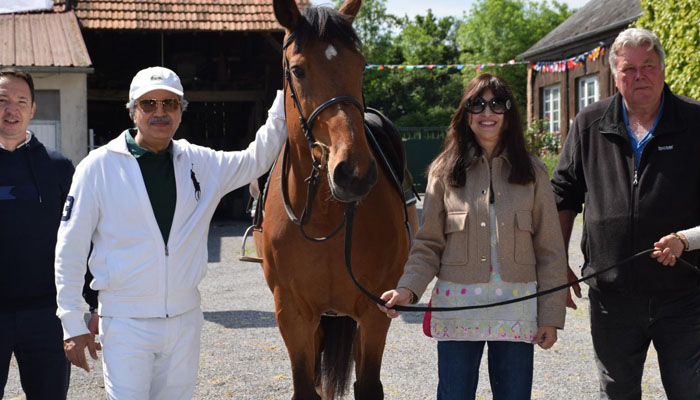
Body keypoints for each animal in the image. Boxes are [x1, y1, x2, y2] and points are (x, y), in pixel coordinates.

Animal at [256, 0, 410, 400]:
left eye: (360, 65)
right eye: (298, 69)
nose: (353, 173)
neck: (325, 216)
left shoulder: (374, 310)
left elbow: (368, 385)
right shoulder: (292, 314)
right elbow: (306, 385)